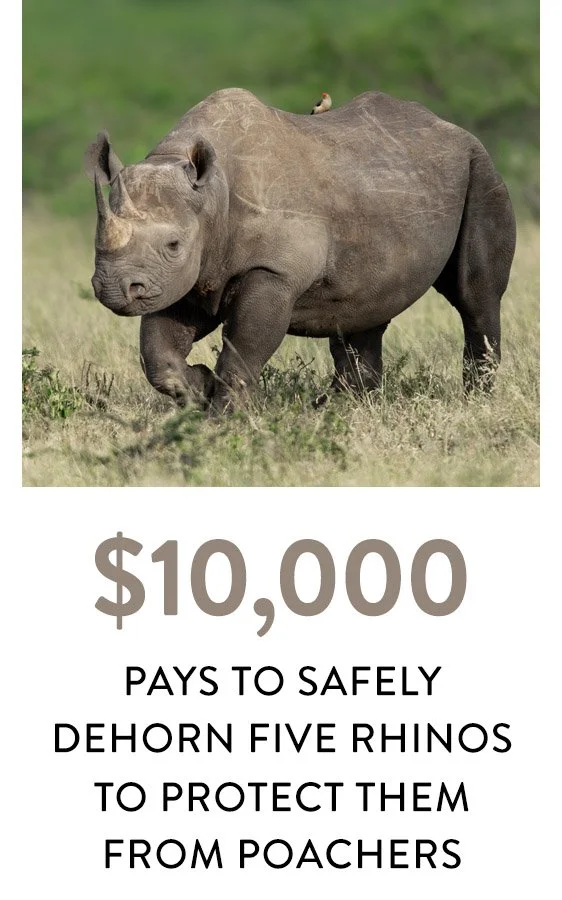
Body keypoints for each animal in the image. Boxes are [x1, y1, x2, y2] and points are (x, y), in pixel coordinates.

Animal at [85, 87, 516, 412]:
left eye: (173, 244)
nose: (113, 289)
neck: (211, 197)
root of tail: (451, 126)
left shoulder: (275, 271)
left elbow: (244, 347)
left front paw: (223, 418)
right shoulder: (185, 276)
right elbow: (158, 355)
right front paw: (201, 388)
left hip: (481, 168)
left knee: (475, 295)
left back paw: (476, 400)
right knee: (364, 307)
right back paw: (341, 408)